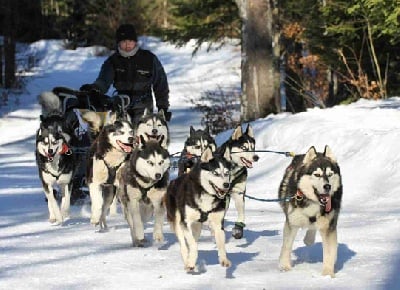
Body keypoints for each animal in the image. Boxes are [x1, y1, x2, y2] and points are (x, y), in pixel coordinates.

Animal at [35, 92, 76, 224]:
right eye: (45, 142)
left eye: (55, 141)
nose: (50, 151)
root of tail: (54, 115)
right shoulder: (47, 184)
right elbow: (52, 201)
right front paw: (58, 216)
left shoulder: (67, 182)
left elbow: (66, 201)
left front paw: (65, 214)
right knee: (50, 199)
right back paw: (53, 217)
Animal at [278, 146, 344, 278]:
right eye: (317, 174)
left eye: (330, 174)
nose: (327, 186)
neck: (313, 202)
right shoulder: (292, 223)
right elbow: (287, 245)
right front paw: (285, 266)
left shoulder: (328, 226)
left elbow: (329, 252)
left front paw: (328, 274)